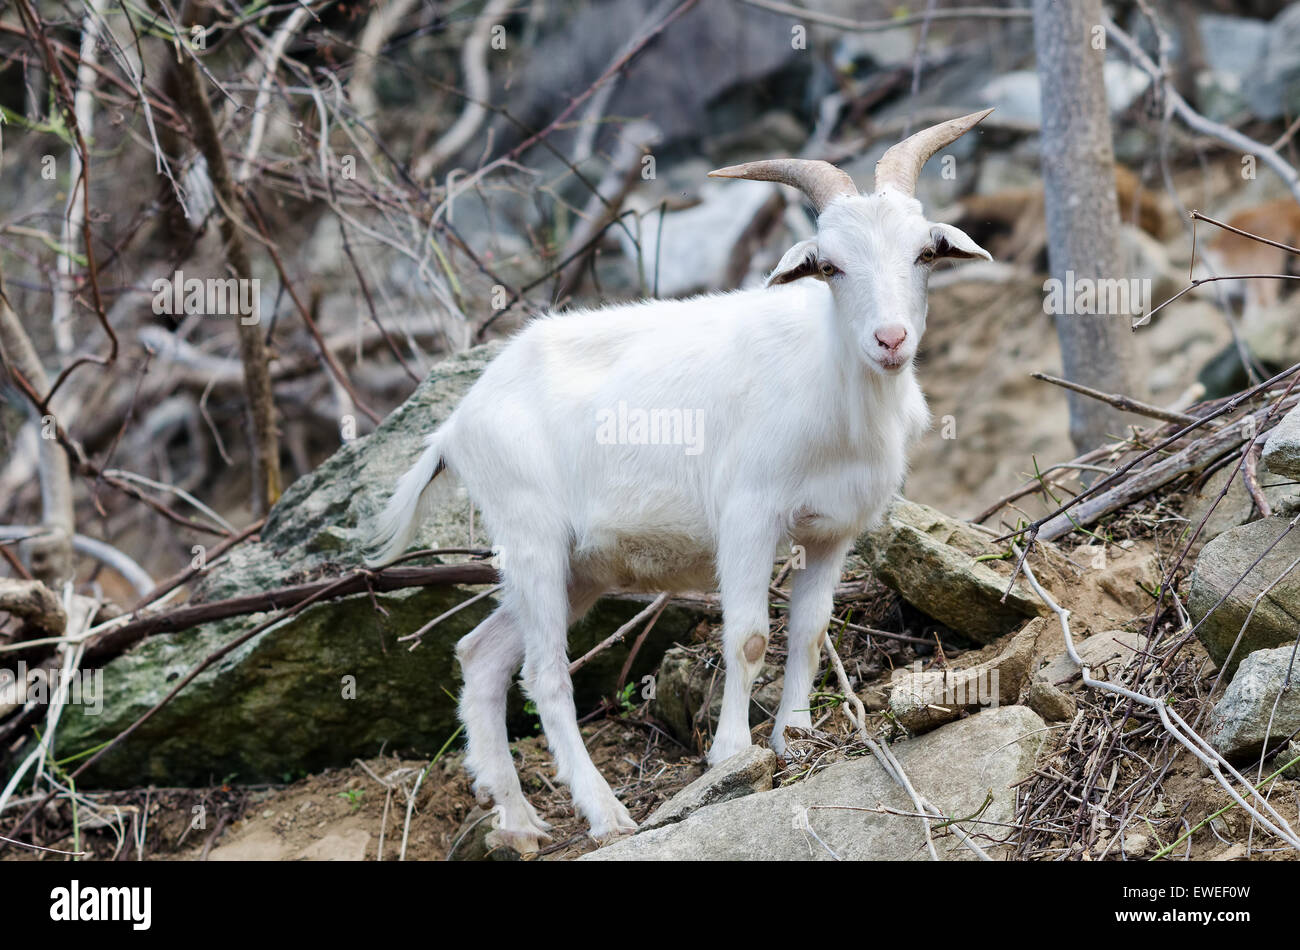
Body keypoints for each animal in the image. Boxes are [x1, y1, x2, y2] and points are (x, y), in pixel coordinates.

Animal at [366, 109, 993, 847]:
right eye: (831, 266)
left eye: (924, 254)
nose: (890, 340)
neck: (834, 386)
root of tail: (456, 426)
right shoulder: (749, 515)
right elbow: (749, 635)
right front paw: (731, 755)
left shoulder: (832, 531)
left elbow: (811, 631)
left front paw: (794, 737)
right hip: (530, 538)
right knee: (544, 675)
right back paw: (605, 815)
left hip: (579, 567)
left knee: (480, 655)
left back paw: (518, 822)